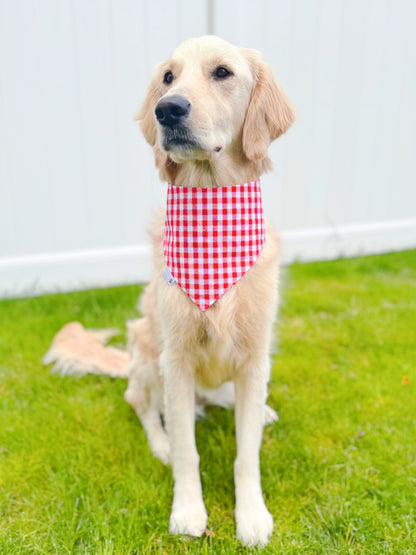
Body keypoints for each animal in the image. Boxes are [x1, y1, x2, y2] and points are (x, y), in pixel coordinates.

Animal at [44, 35, 292, 548]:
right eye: (167, 78)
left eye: (222, 72)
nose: (167, 109)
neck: (213, 218)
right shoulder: (176, 360)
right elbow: (186, 452)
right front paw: (188, 511)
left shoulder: (255, 354)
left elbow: (247, 452)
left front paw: (252, 514)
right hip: (146, 345)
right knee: (139, 402)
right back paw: (157, 441)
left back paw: (258, 410)